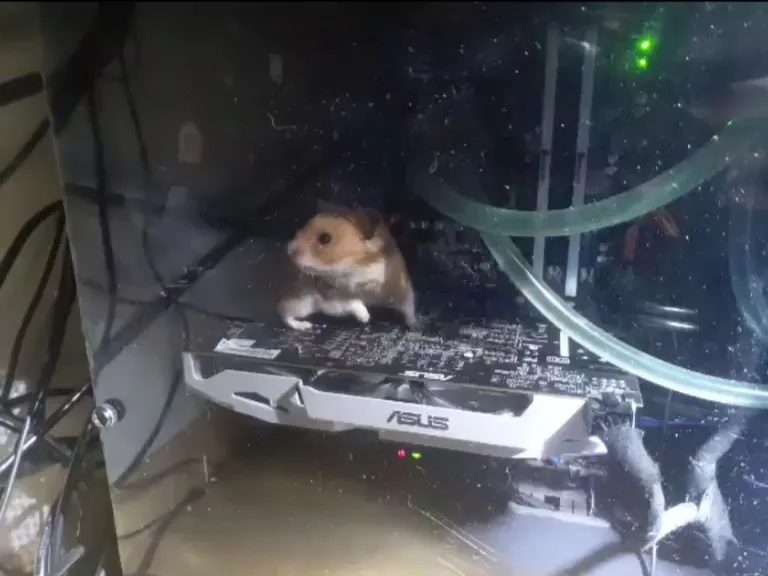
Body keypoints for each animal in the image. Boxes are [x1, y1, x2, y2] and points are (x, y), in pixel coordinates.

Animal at [278, 207, 418, 331]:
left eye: (325, 238)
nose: (289, 251)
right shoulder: (329, 296)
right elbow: (352, 302)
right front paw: (366, 318)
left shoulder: (400, 287)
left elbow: (408, 306)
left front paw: (415, 327)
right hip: (300, 304)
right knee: (284, 314)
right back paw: (305, 326)